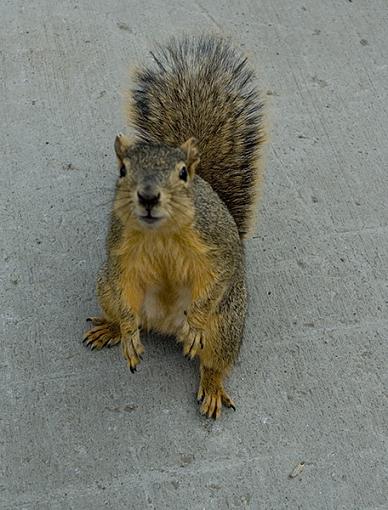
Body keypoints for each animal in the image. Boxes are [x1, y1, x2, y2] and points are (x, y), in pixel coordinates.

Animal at [84, 34, 266, 418]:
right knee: (122, 309)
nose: (149, 196)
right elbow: (124, 284)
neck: (161, 233)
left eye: (183, 174)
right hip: (105, 288)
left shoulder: (217, 243)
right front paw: (127, 333)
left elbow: (218, 276)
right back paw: (113, 329)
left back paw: (210, 383)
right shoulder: (120, 252)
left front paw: (195, 325)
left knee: (215, 360)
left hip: (226, 324)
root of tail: (167, 326)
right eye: (122, 170)